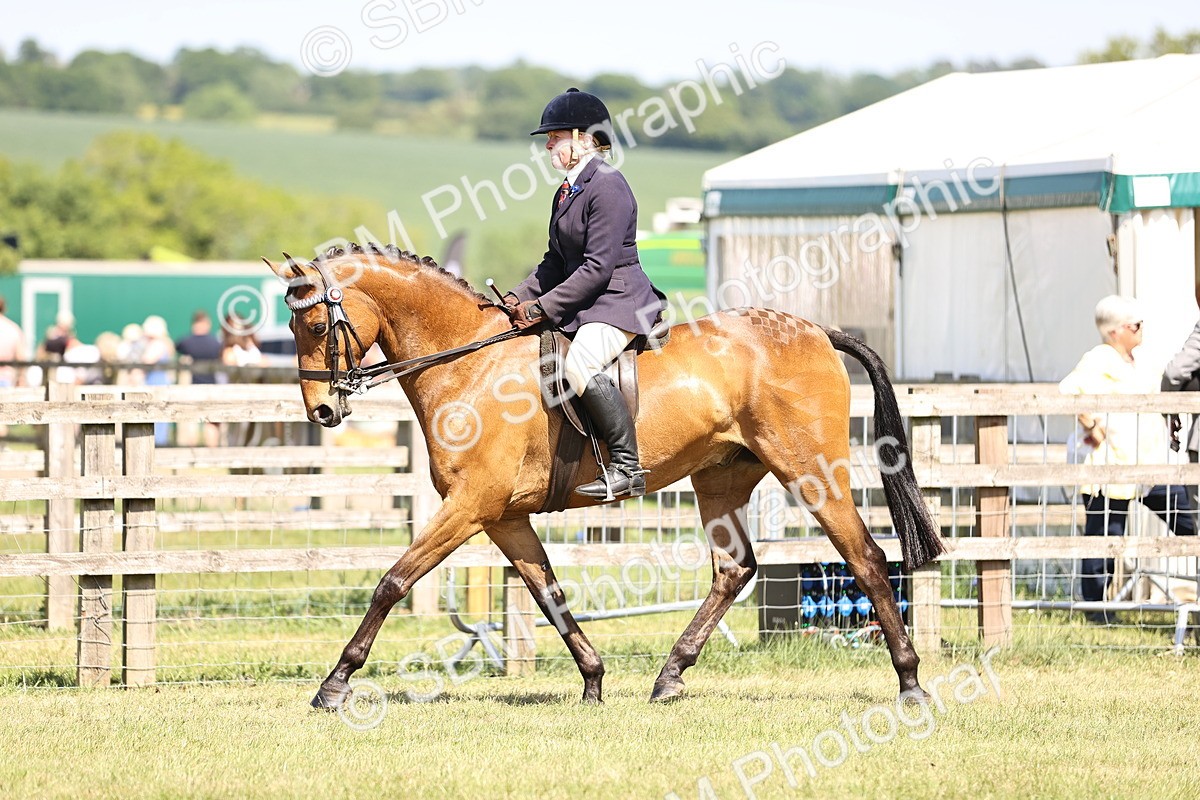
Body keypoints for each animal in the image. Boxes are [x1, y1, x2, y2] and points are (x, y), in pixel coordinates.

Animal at [264, 243, 944, 707]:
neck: (468, 363)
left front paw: (334, 684)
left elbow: (392, 582)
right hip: (720, 479)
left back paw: (910, 681)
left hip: (811, 471)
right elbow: (549, 594)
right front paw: (593, 681)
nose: (322, 412)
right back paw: (669, 676)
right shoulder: (504, 516)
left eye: (317, 325)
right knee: (734, 570)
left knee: (865, 557)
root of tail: (818, 332)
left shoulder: (469, 506)